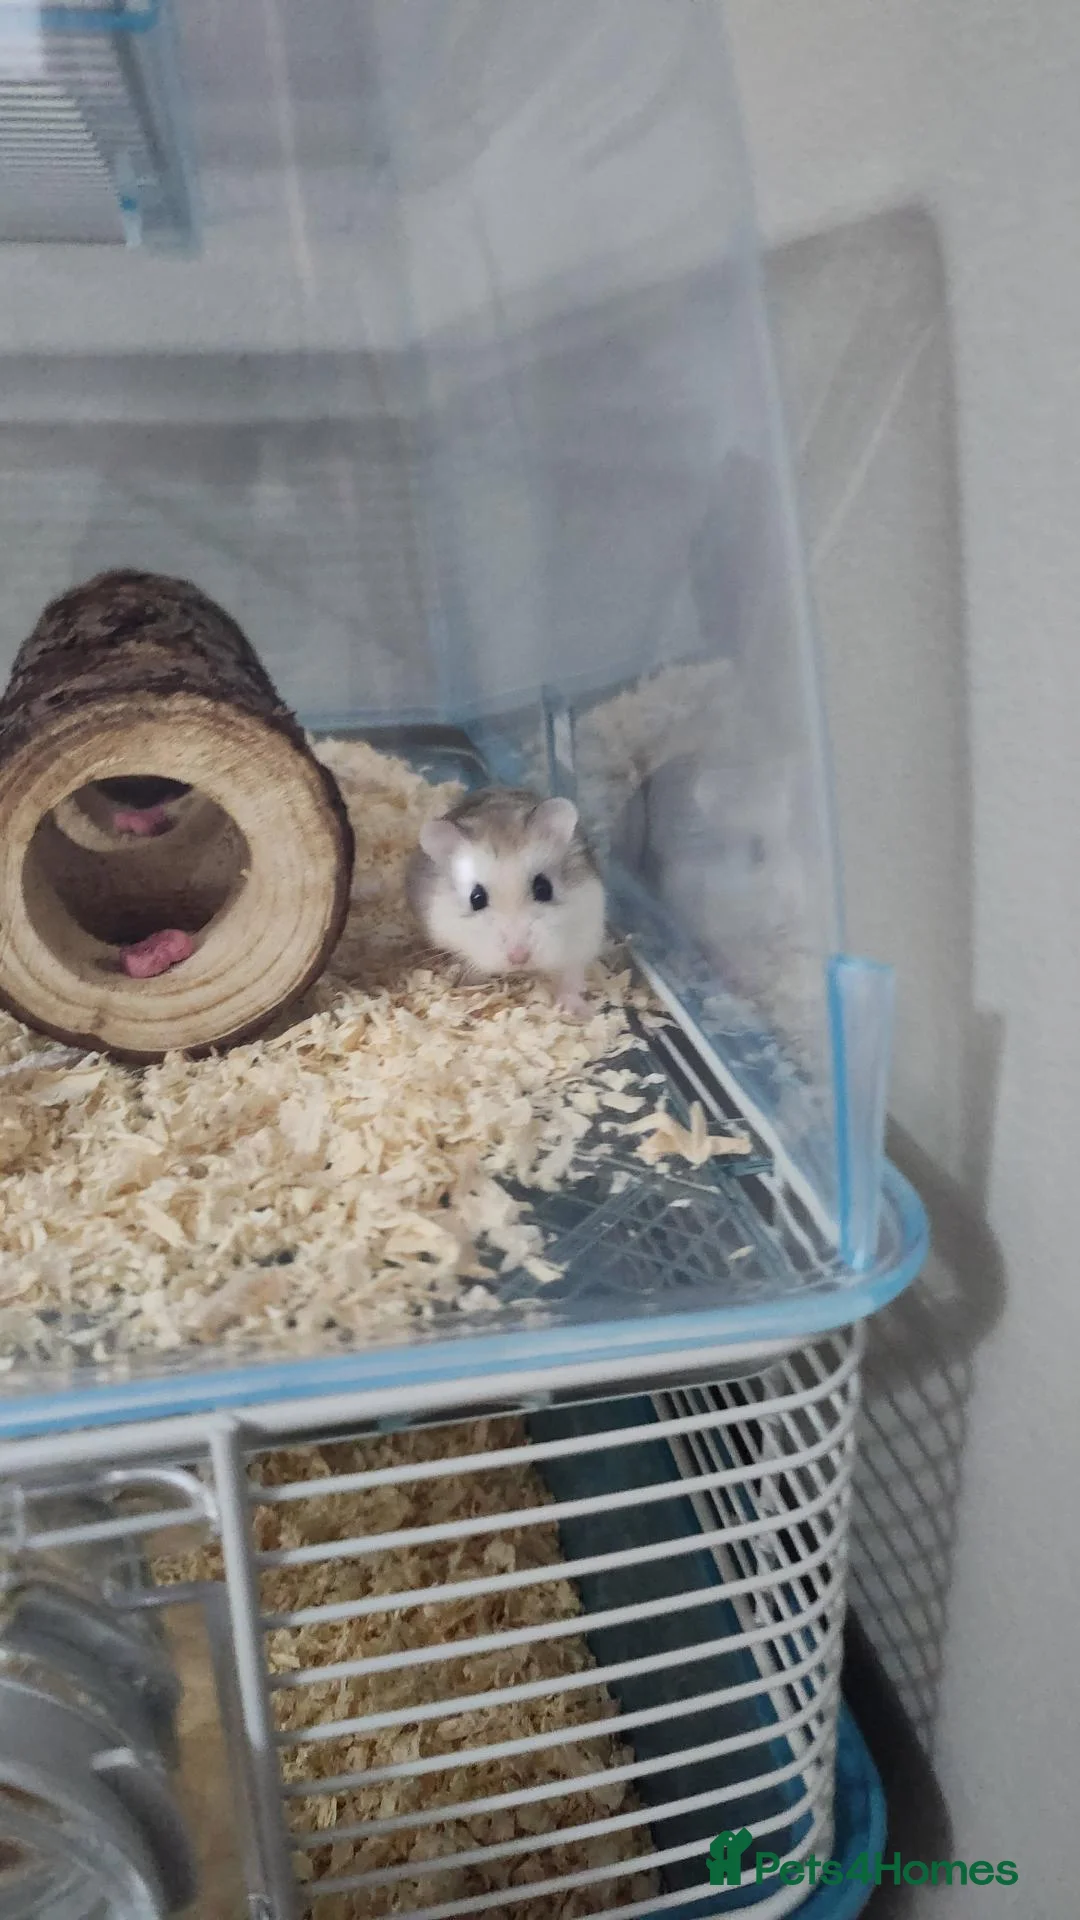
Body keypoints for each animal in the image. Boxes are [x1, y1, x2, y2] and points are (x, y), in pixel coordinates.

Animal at [406, 787, 605, 1013]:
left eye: (544, 889)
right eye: (476, 899)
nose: (519, 958)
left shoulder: (584, 933)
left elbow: (571, 975)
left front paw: (578, 1011)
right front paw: (472, 984)